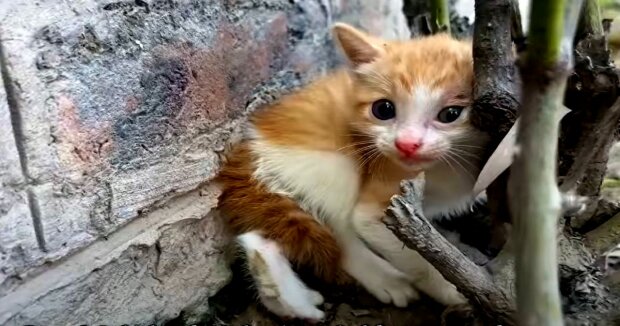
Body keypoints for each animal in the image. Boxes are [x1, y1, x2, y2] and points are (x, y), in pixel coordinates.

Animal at [216, 22, 492, 320]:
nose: (407, 144)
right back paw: (385, 280)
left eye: (451, 114)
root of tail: (249, 146)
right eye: (383, 109)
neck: (445, 166)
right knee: (340, 232)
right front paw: (453, 289)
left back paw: (289, 300)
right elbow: (414, 256)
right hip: (332, 162)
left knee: (260, 236)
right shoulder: (382, 201)